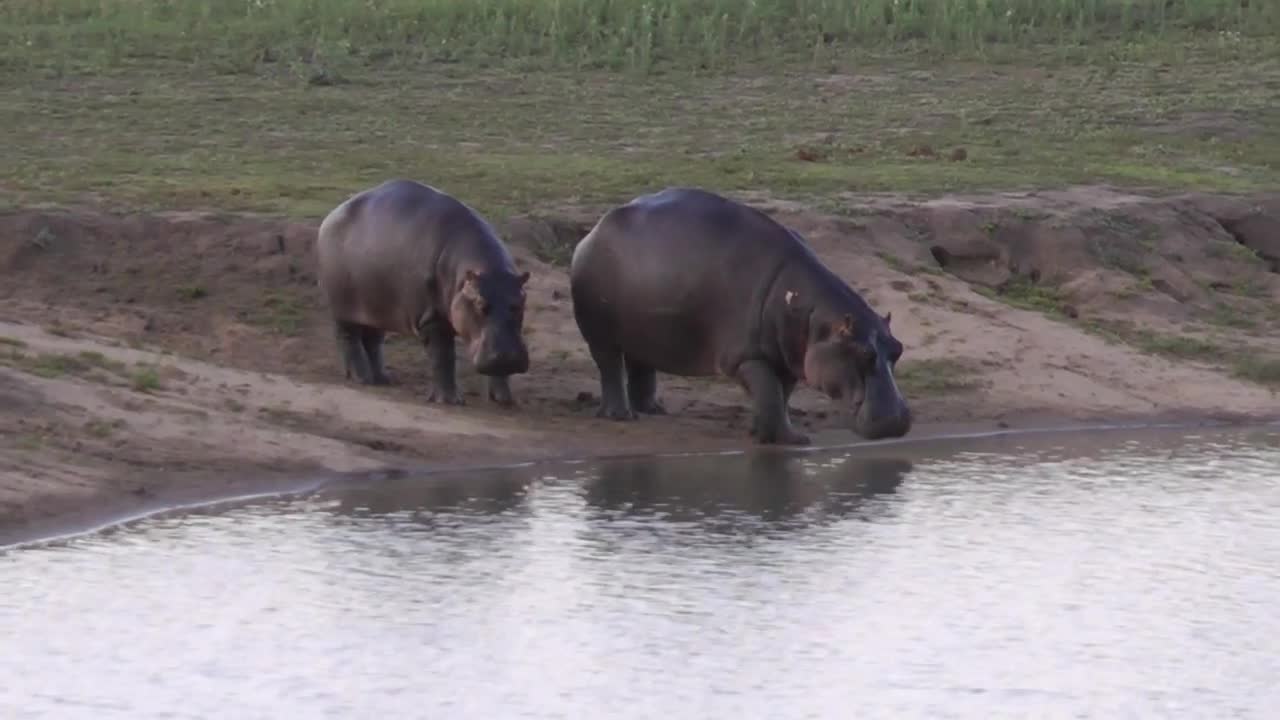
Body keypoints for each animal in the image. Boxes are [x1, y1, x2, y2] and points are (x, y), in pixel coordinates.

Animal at [317, 176, 532, 407]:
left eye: (519, 304)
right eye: (481, 305)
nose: (508, 358)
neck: (485, 269)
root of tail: (331, 215)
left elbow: (497, 371)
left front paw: (504, 399)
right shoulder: (432, 319)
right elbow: (443, 357)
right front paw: (449, 400)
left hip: (376, 307)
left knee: (373, 341)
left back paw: (383, 379)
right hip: (343, 308)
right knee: (349, 338)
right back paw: (362, 378)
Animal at [568, 184, 911, 443]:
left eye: (898, 349)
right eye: (864, 354)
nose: (896, 421)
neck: (816, 321)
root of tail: (593, 231)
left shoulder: (785, 357)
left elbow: (779, 396)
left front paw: (763, 433)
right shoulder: (749, 357)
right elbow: (769, 393)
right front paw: (792, 440)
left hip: (645, 330)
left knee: (642, 364)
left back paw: (653, 409)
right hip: (600, 334)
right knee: (610, 367)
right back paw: (621, 416)